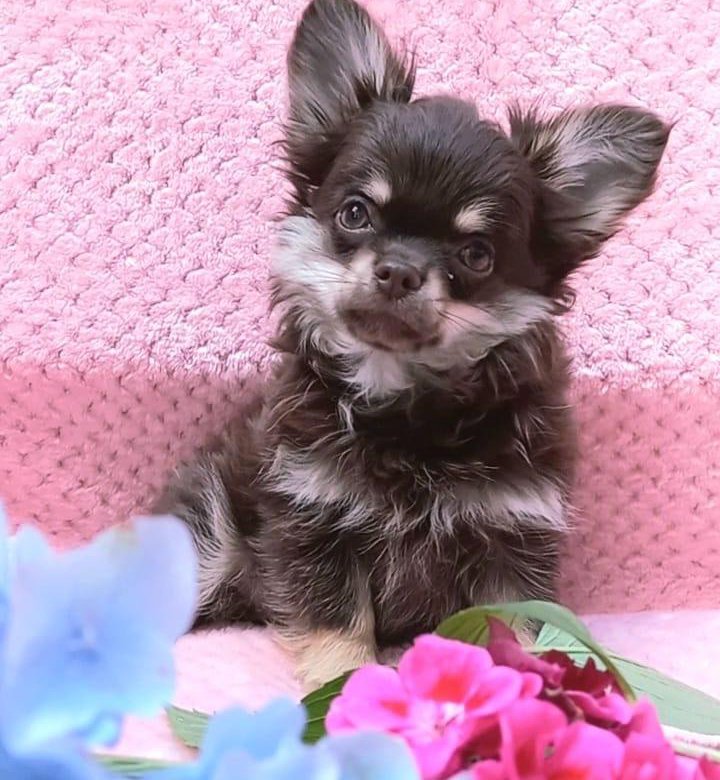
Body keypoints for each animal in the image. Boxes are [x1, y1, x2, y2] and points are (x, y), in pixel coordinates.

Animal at [156, 0, 669, 689]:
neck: (408, 406)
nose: (399, 270)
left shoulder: (513, 534)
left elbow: (512, 632)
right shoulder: (314, 517)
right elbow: (340, 628)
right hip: (212, 537)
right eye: (354, 214)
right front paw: (342, 688)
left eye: (476, 254)